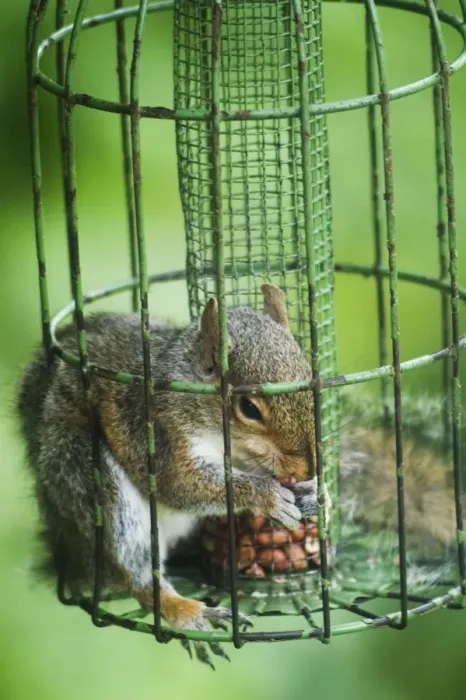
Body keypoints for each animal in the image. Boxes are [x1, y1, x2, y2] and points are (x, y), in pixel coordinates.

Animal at [17, 284, 456, 667]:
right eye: (248, 408)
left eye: (311, 382)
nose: (306, 469)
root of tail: (71, 556)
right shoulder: (157, 432)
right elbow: (183, 484)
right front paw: (264, 494)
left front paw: (319, 493)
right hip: (87, 476)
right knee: (134, 570)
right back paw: (186, 609)